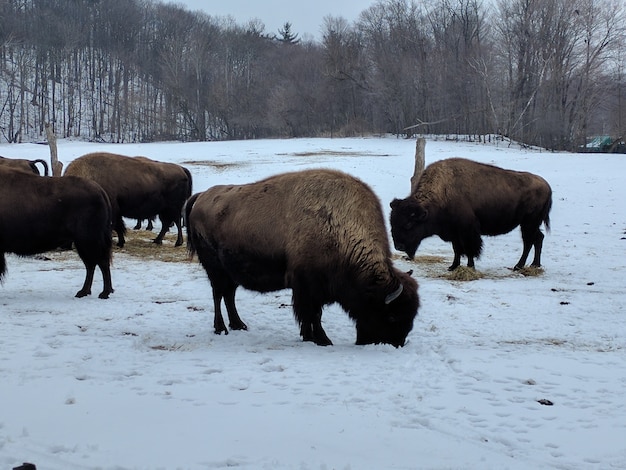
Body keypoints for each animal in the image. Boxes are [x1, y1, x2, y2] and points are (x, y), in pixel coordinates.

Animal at [0, 165, 113, 298]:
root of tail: (100, 191)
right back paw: (86, 292)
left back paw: (102, 293)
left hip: (87, 241)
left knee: (100, 263)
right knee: (93, 264)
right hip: (84, 243)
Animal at [63, 154, 191, 250]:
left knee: (176, 222)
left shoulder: (112, 212)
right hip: (164, 210)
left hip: (172, 208)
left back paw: (177, 243)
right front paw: (120, 242)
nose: (64, 246)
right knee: (166, 224)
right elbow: (119, 226)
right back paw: (157, 241)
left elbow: (115, 226)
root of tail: (181, 170)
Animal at [185, 168, 420, 346]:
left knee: (229, 295)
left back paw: (239, 325)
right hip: (215, 269)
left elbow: (313, 315)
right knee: (218, 295)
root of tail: (201, 197)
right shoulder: (308, 287)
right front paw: (322, 340)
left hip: (230, 272)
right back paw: (221, 328)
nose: (397, 343)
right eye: (391, 316)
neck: (339, 227)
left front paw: (310, 337)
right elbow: (313, 314)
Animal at [390, 157, 552, 270]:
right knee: (538, 238)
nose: (399, 246)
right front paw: (452, 267)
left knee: (528, 242)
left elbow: (469, 249)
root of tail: (546, 186)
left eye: (409, 224)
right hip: (531, 224)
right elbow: (457, 250)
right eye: (392, 223)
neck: (442, 194)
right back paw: (534, 265)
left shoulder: (467, 231)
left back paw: (518, 266)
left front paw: (470, 267)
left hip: (528, 223)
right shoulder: (454, 232)